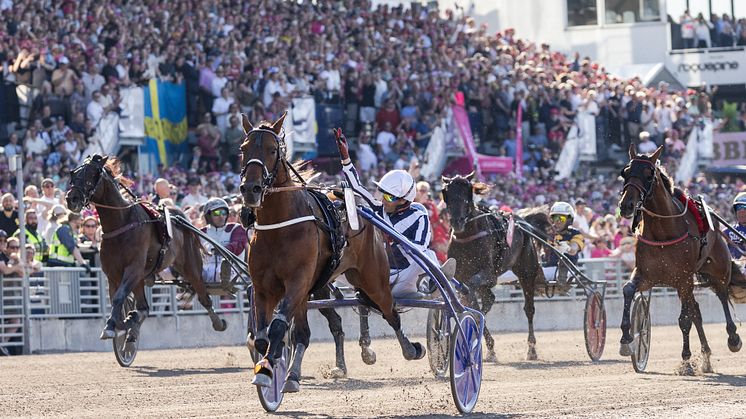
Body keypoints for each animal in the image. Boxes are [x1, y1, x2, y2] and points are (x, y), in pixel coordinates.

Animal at [67, 156, 227, 346]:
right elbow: (119, 300)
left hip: (191, 267)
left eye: (92, 173)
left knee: (203, 296)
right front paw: (121, 323)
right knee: (144, 307)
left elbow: (119, 297)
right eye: (73, 173)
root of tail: (178, 217)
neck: (121, 223)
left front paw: (112, 326)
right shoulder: (113, 274)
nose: (71, 198)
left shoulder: (134, 268)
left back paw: (218, 322)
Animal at [238, 112, 424, 394]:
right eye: (243, 149)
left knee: (390, 310)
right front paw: (270, 366)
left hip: (372, 279)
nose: (251, 189)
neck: (280, 226)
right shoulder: (263, 287)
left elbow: (279, 327)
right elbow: (262, 337)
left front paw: (268, 371)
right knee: (321, 325)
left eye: (272, 150)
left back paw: (410, 349)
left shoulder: (297, 281)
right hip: (319, 286)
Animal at [438, 172, 548, 362]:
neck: (467, 237)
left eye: (467, 192)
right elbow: (473, 301)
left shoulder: (488, 275)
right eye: (447, 193)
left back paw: (531, 349)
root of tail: (521, 221)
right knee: (489, 299)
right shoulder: (461, 276)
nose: (457, 222)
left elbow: (472, 291)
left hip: (526, 271)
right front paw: (487, 346)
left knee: (529, 309)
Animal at [616, 145, 740, 374]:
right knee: (697, 311)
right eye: (625, 172)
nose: (627, 205)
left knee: (722, 296)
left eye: (649, 175)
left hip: (717, 270)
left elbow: (684, 320)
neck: (663, 232)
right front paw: (627, 339)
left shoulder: (683, 279)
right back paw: (706, 356)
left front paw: (686, 360)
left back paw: (733, 338)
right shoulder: (646, 275)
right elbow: (628, 290)